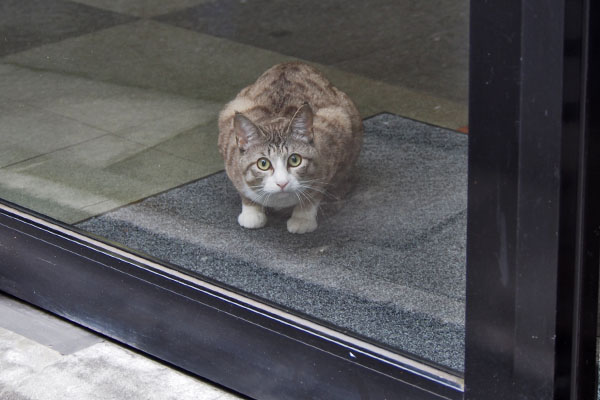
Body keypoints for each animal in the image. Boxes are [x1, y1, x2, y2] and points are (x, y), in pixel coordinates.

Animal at [218, 61, 364, 233]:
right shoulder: (230, 152)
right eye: (263, 163)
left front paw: (302, 217)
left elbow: (315, 191)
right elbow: (243, 189)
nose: (282, 183)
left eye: (295, 160)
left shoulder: (332, 133)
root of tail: (291, 63)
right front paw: (252, 212)